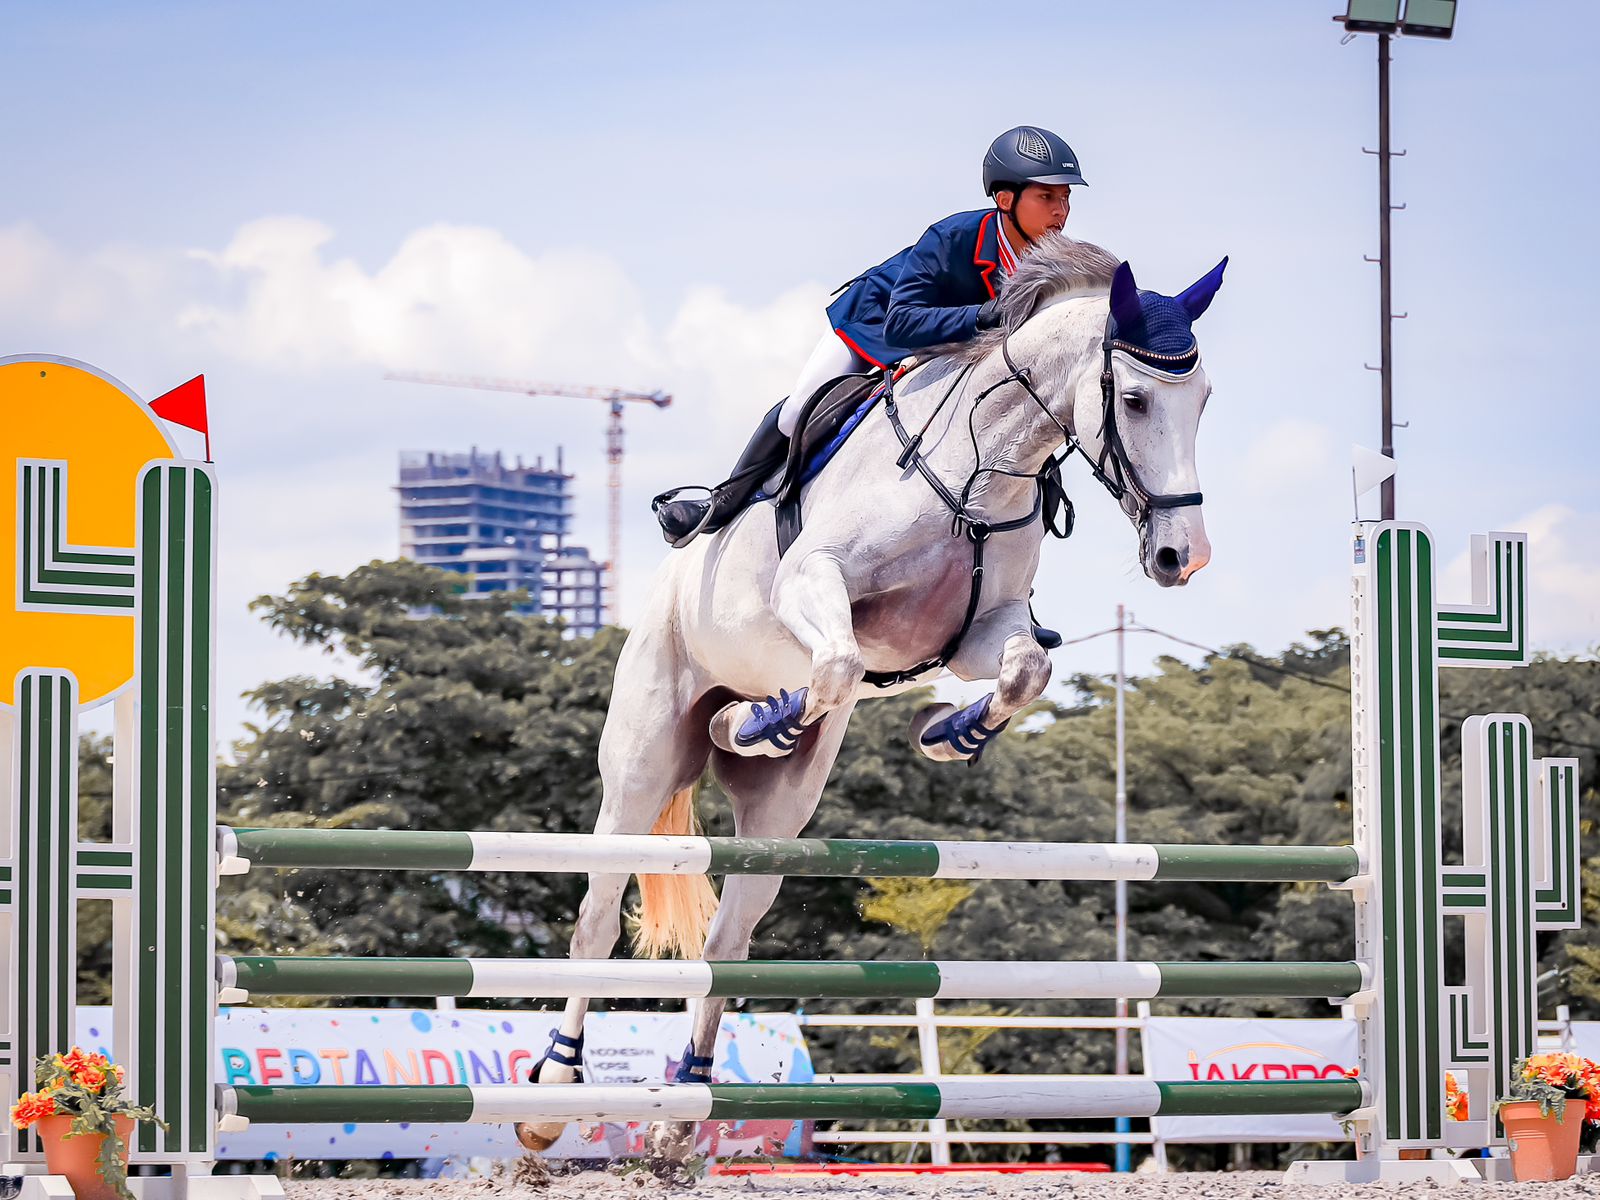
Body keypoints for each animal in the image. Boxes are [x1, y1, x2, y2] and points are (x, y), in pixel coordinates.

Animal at [518, 236, 1216, 1158]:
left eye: (1204, 400)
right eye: (1134, 399)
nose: (1182, 556)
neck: (976, 466)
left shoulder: (979, 631)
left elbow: (1023, 671)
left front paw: (949, 732)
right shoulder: (813, 584)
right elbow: (841, 665)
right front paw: (762, 718)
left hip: (778, 822)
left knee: (729, 936)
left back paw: (687, 1105)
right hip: (640, 761)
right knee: (598, 916)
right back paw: (552, 1092)